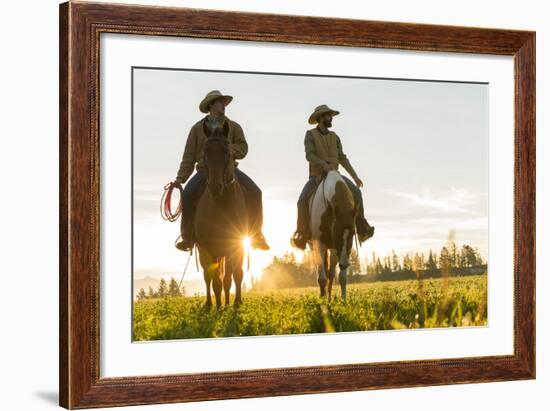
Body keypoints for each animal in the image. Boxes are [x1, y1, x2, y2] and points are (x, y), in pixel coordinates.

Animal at [193, 120, 247, 308]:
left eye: (227, 152)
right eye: (205, 152)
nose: (215, 187)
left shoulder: (236, 243)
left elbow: (236, 274)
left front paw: (236, 303)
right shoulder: (208, 248)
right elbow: (215, 279)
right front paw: (218, 307)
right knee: (208, 277)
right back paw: (210, 304)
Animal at [310, 169, 358, 300]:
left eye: (353, 233)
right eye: (337, 232)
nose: (345, 264)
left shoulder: (339, 249)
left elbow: (341, 278)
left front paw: (343, 301)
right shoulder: (320, 243)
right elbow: (322, 278)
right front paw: (322, 300)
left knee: (330, 274)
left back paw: (329, 297)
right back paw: (323, 295)